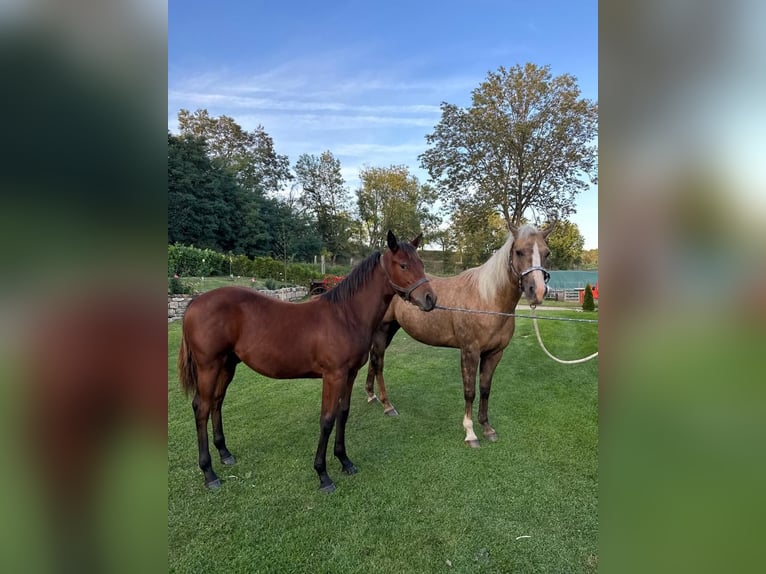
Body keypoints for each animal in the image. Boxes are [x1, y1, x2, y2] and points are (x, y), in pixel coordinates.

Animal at [176, 232, 436, 492]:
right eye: (403, 265)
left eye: (421, 264)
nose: (430, 299)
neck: (346, 315)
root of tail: (194, 303)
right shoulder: (333, 376)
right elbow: (327, 420)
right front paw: (323, 475)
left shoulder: (350, 374)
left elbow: (343, 413)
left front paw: (345, 461)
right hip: (208, 367)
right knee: (202, 407)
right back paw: (209, 473)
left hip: (227, 365)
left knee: (216, 403)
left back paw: (225, 454)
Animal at [364, 225, 552, 450]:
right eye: (519, 252)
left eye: (547, 253)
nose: (538, 291)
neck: (487, 299)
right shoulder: (470, 352)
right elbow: (470, 391)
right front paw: (470, 433)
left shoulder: (494, 353)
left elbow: (485, 389)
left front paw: (487, 428)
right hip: (381, 330)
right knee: (379, 363)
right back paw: (387, 405)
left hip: (390, 329)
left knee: (373, 361)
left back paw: (371, 395)